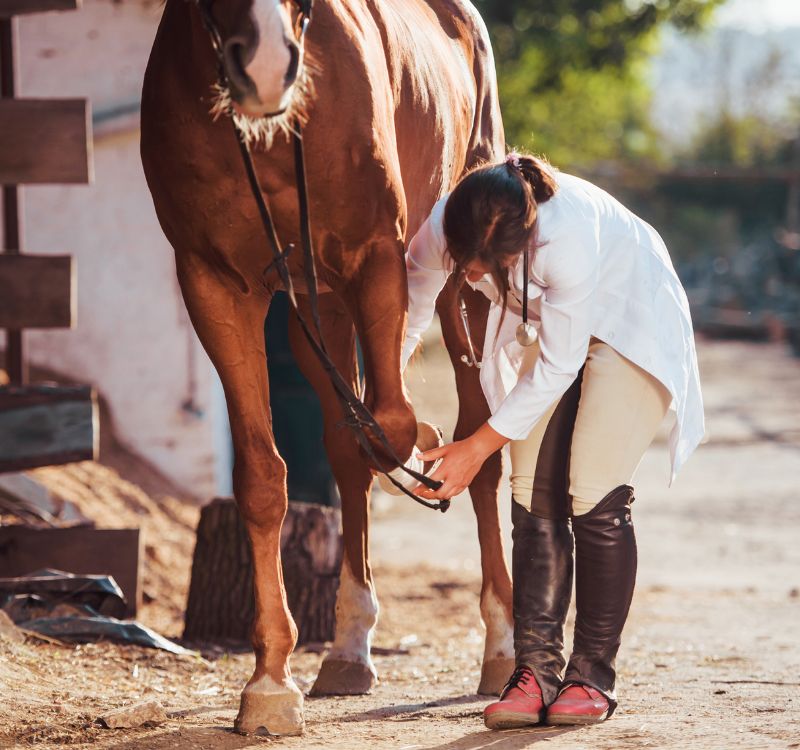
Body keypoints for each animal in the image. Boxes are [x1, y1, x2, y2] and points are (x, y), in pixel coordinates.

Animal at [141, 0, 516, 736]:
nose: (263, 64)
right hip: (319, 307)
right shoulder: (216, 286)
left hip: (463, 282)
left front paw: (422, 443)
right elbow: (266, 476)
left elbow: (394, 423)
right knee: (348, 453)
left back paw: (500, 645)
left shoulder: (376, 257)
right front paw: (268, 683)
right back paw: (347, 652)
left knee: (477, 447)